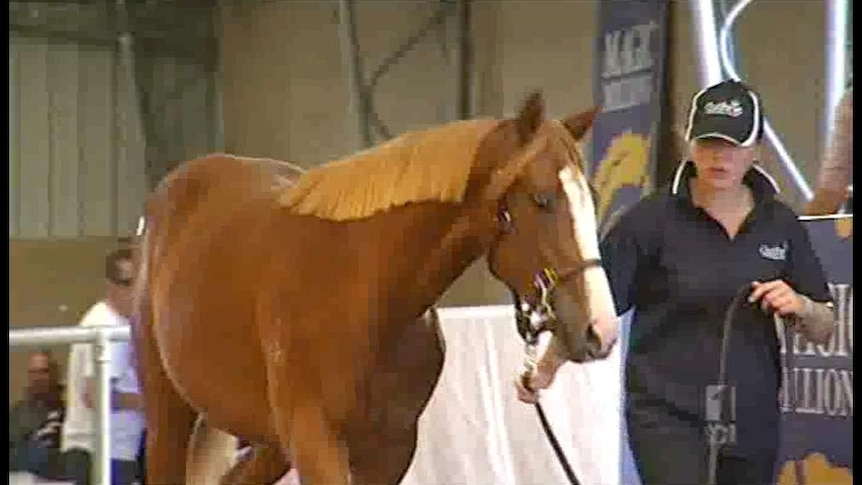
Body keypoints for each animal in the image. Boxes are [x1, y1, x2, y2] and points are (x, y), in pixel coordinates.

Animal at [133, 91, 620, 484]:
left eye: (591, 197)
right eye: (541, 199)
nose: (601, 330)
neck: (365, 290)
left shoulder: (390, 448)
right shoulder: (316, 441)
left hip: (269, 442)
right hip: (169, 415)